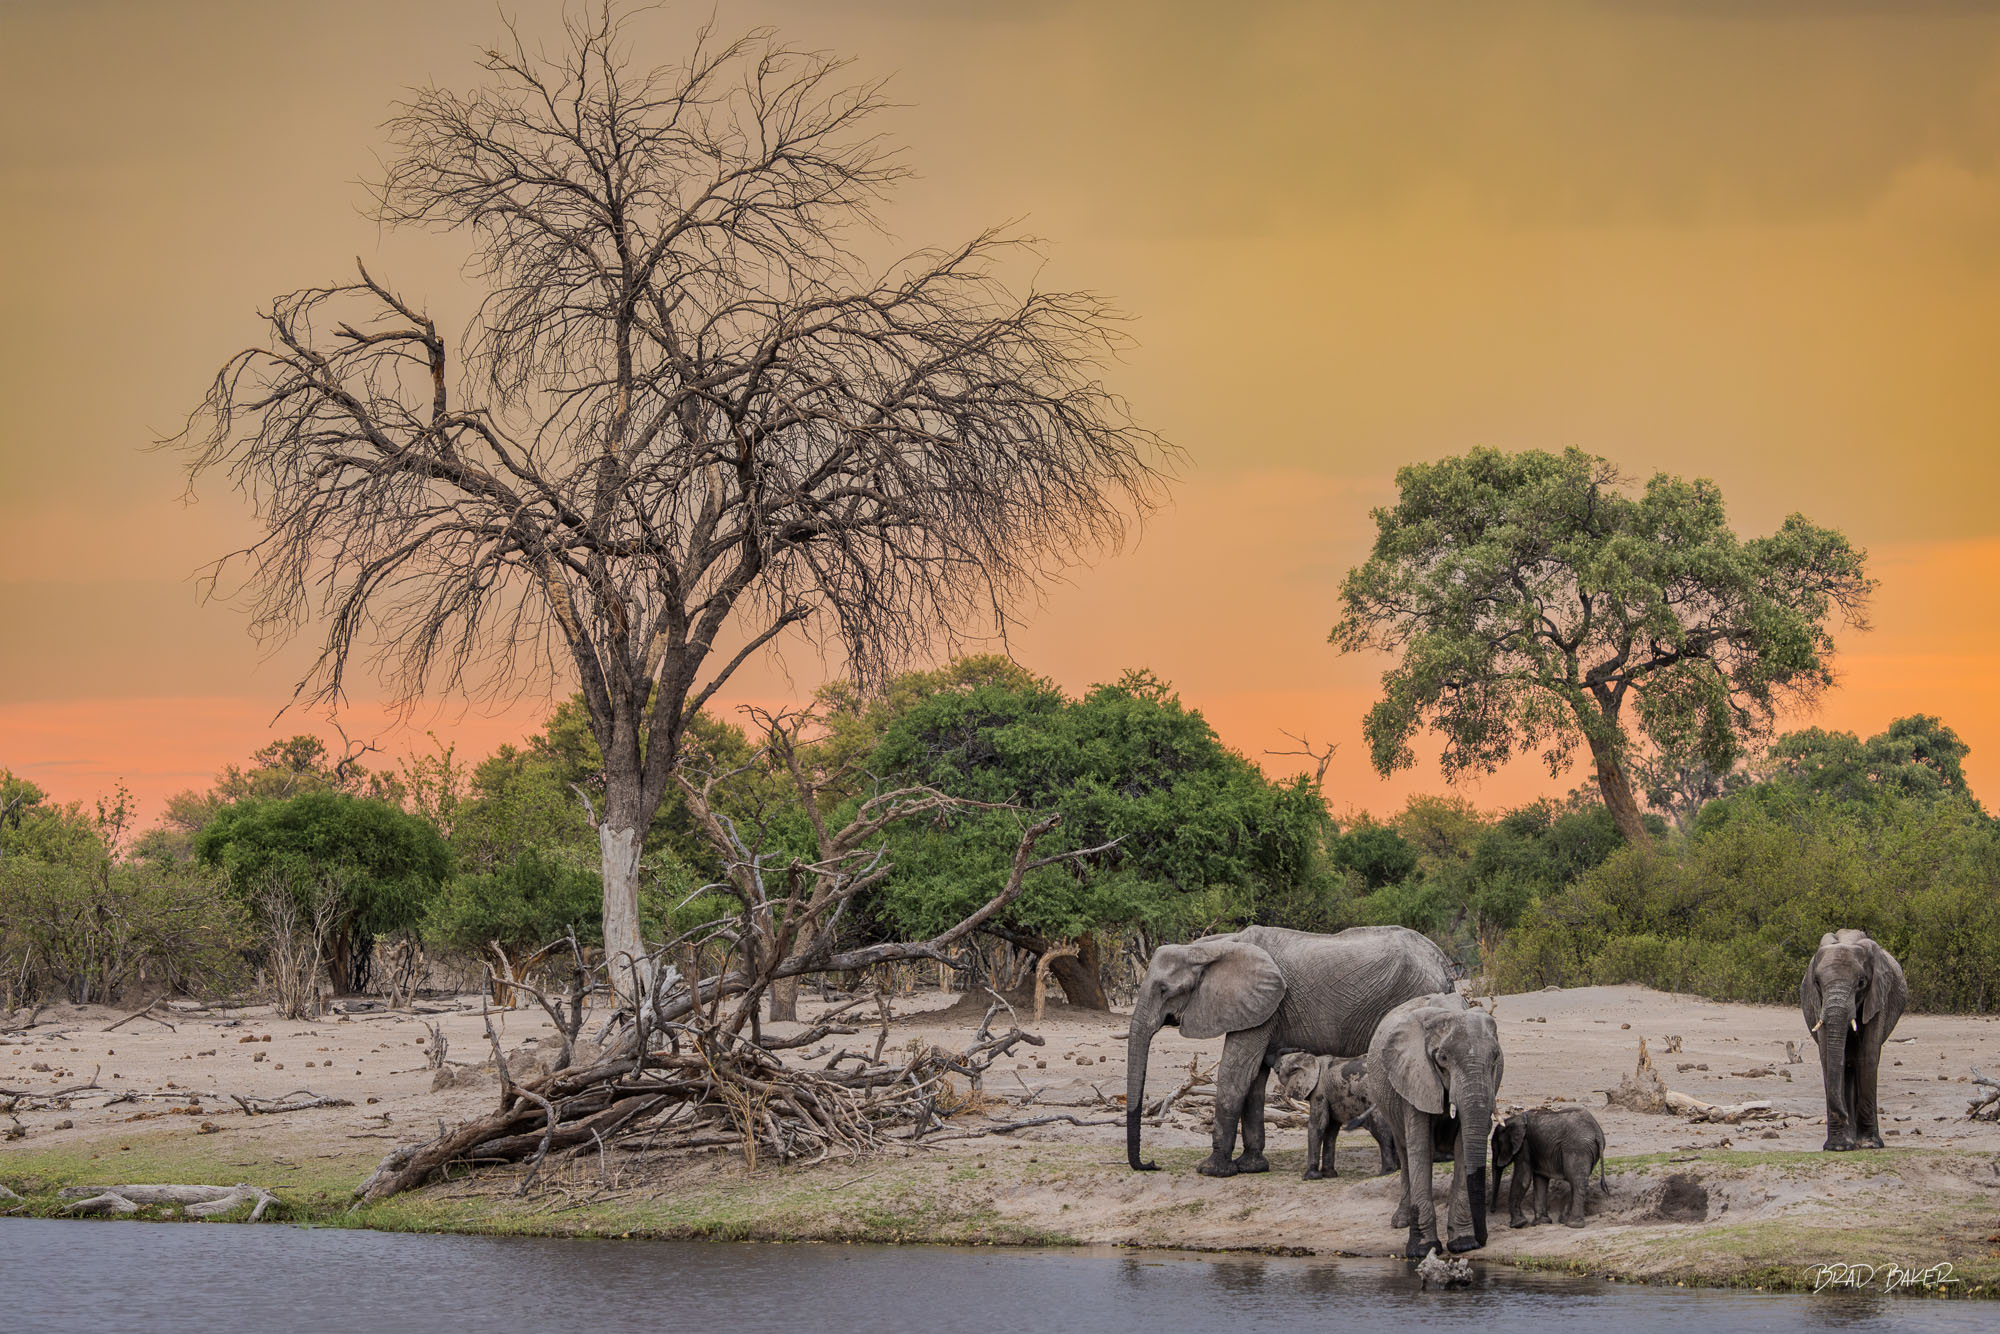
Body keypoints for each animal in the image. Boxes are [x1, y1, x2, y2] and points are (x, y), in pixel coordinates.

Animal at [1125, 925, 1453, 1177]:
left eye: (1164, 990)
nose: (1151, 1164)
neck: (1211, 948)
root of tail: (1443, 962)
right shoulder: (1261, 1008)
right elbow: (1254, 1079)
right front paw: (1251, 1167)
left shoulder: (1263, 1004)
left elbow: (1236, 1074)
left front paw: (1212, 1170)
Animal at [1365, 991, 1503, 1258]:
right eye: (1442, 1058)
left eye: (1495, 1057)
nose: (1483, 1239)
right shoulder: (1414, 1074)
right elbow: (1420, 1147)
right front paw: (1422, 1250)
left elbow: (1463, 1148)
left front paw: (1464, 1243)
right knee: (1405, 1151)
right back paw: (1401, 1221)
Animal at [1801, 929, 1907, 1151]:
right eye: (1817, 983)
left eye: (1861, 983)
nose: (1843, 1115)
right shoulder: (1818, 1004)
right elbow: (1828, 1058)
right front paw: (1837, 1147)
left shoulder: (1878, 999)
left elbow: (1867, 1057)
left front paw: (1869, 1144)